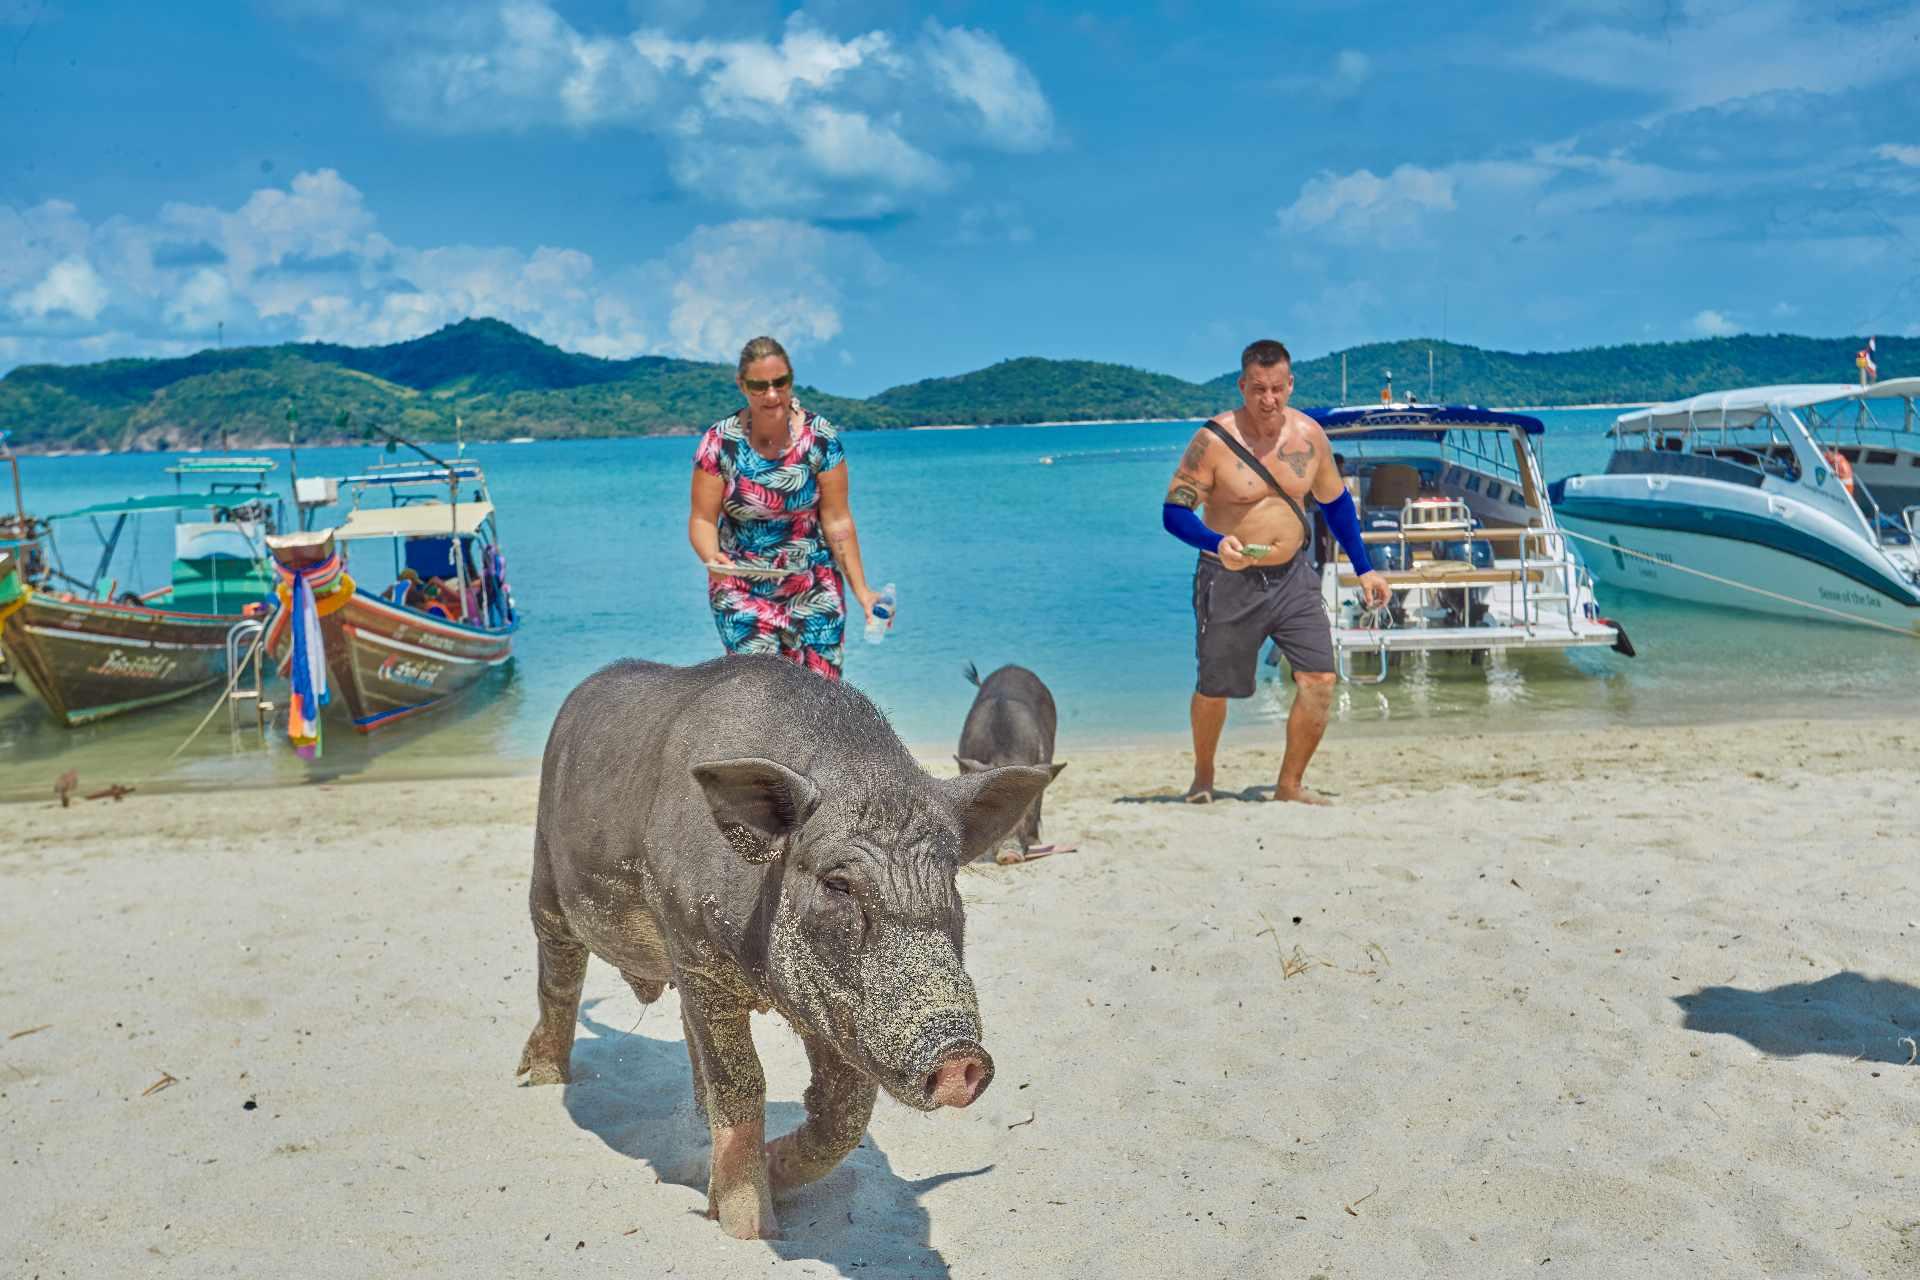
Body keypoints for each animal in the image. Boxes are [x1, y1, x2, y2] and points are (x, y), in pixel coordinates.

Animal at [517, 655, 1055, 1240]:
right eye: (838, 884)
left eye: (950, 880)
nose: (960, 1056)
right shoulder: (697, 953)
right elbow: (742, 1082)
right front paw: (749, 1228)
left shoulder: (834, 1008)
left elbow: (841, 1113)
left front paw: (759, 1180)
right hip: (546, 875)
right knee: (559, 976)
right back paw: (539, 1079)